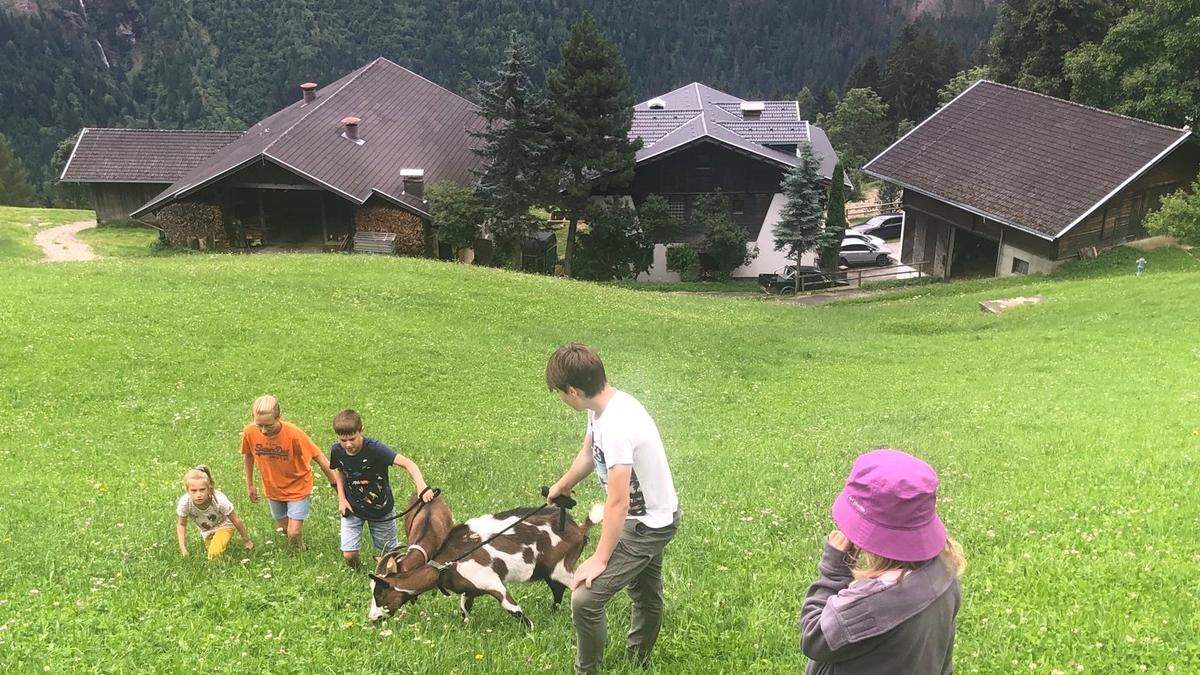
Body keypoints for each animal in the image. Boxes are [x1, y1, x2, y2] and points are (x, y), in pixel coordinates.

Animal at [364, 499, 604, 624]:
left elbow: (516, 611)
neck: (447, 563)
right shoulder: (469, 589)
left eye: (380, 591)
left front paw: (532, 632)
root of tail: (579, 528)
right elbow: (464, 610)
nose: (373, 618)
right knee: (558, 592)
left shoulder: (493, 582)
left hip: (562, 567)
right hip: (549, 571)